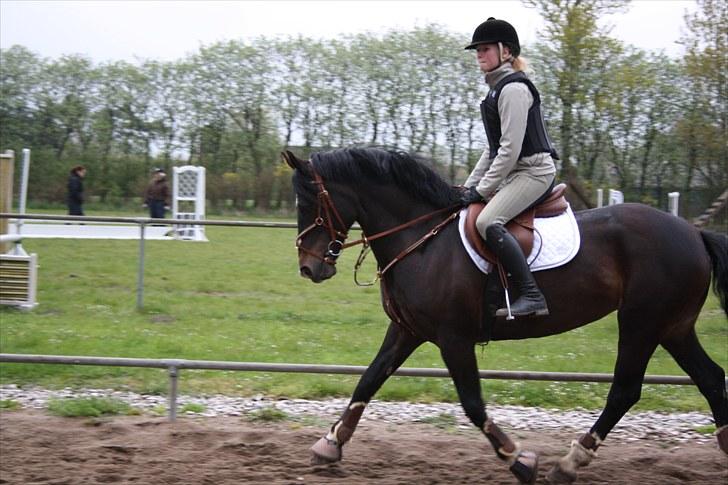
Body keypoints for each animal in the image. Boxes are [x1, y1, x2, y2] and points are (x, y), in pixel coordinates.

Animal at [280, 146, 728, 482]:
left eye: (309, 201)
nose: (309, 268)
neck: (422, 239)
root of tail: (693, 232)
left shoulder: (454, 338)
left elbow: (472, 402)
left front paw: (520, 460)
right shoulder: (407, 330)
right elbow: (369, 380)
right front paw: (330, 445)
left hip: (641, 323)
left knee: (625, 390)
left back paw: (568, 464)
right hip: (673, 326)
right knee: (709, 377)